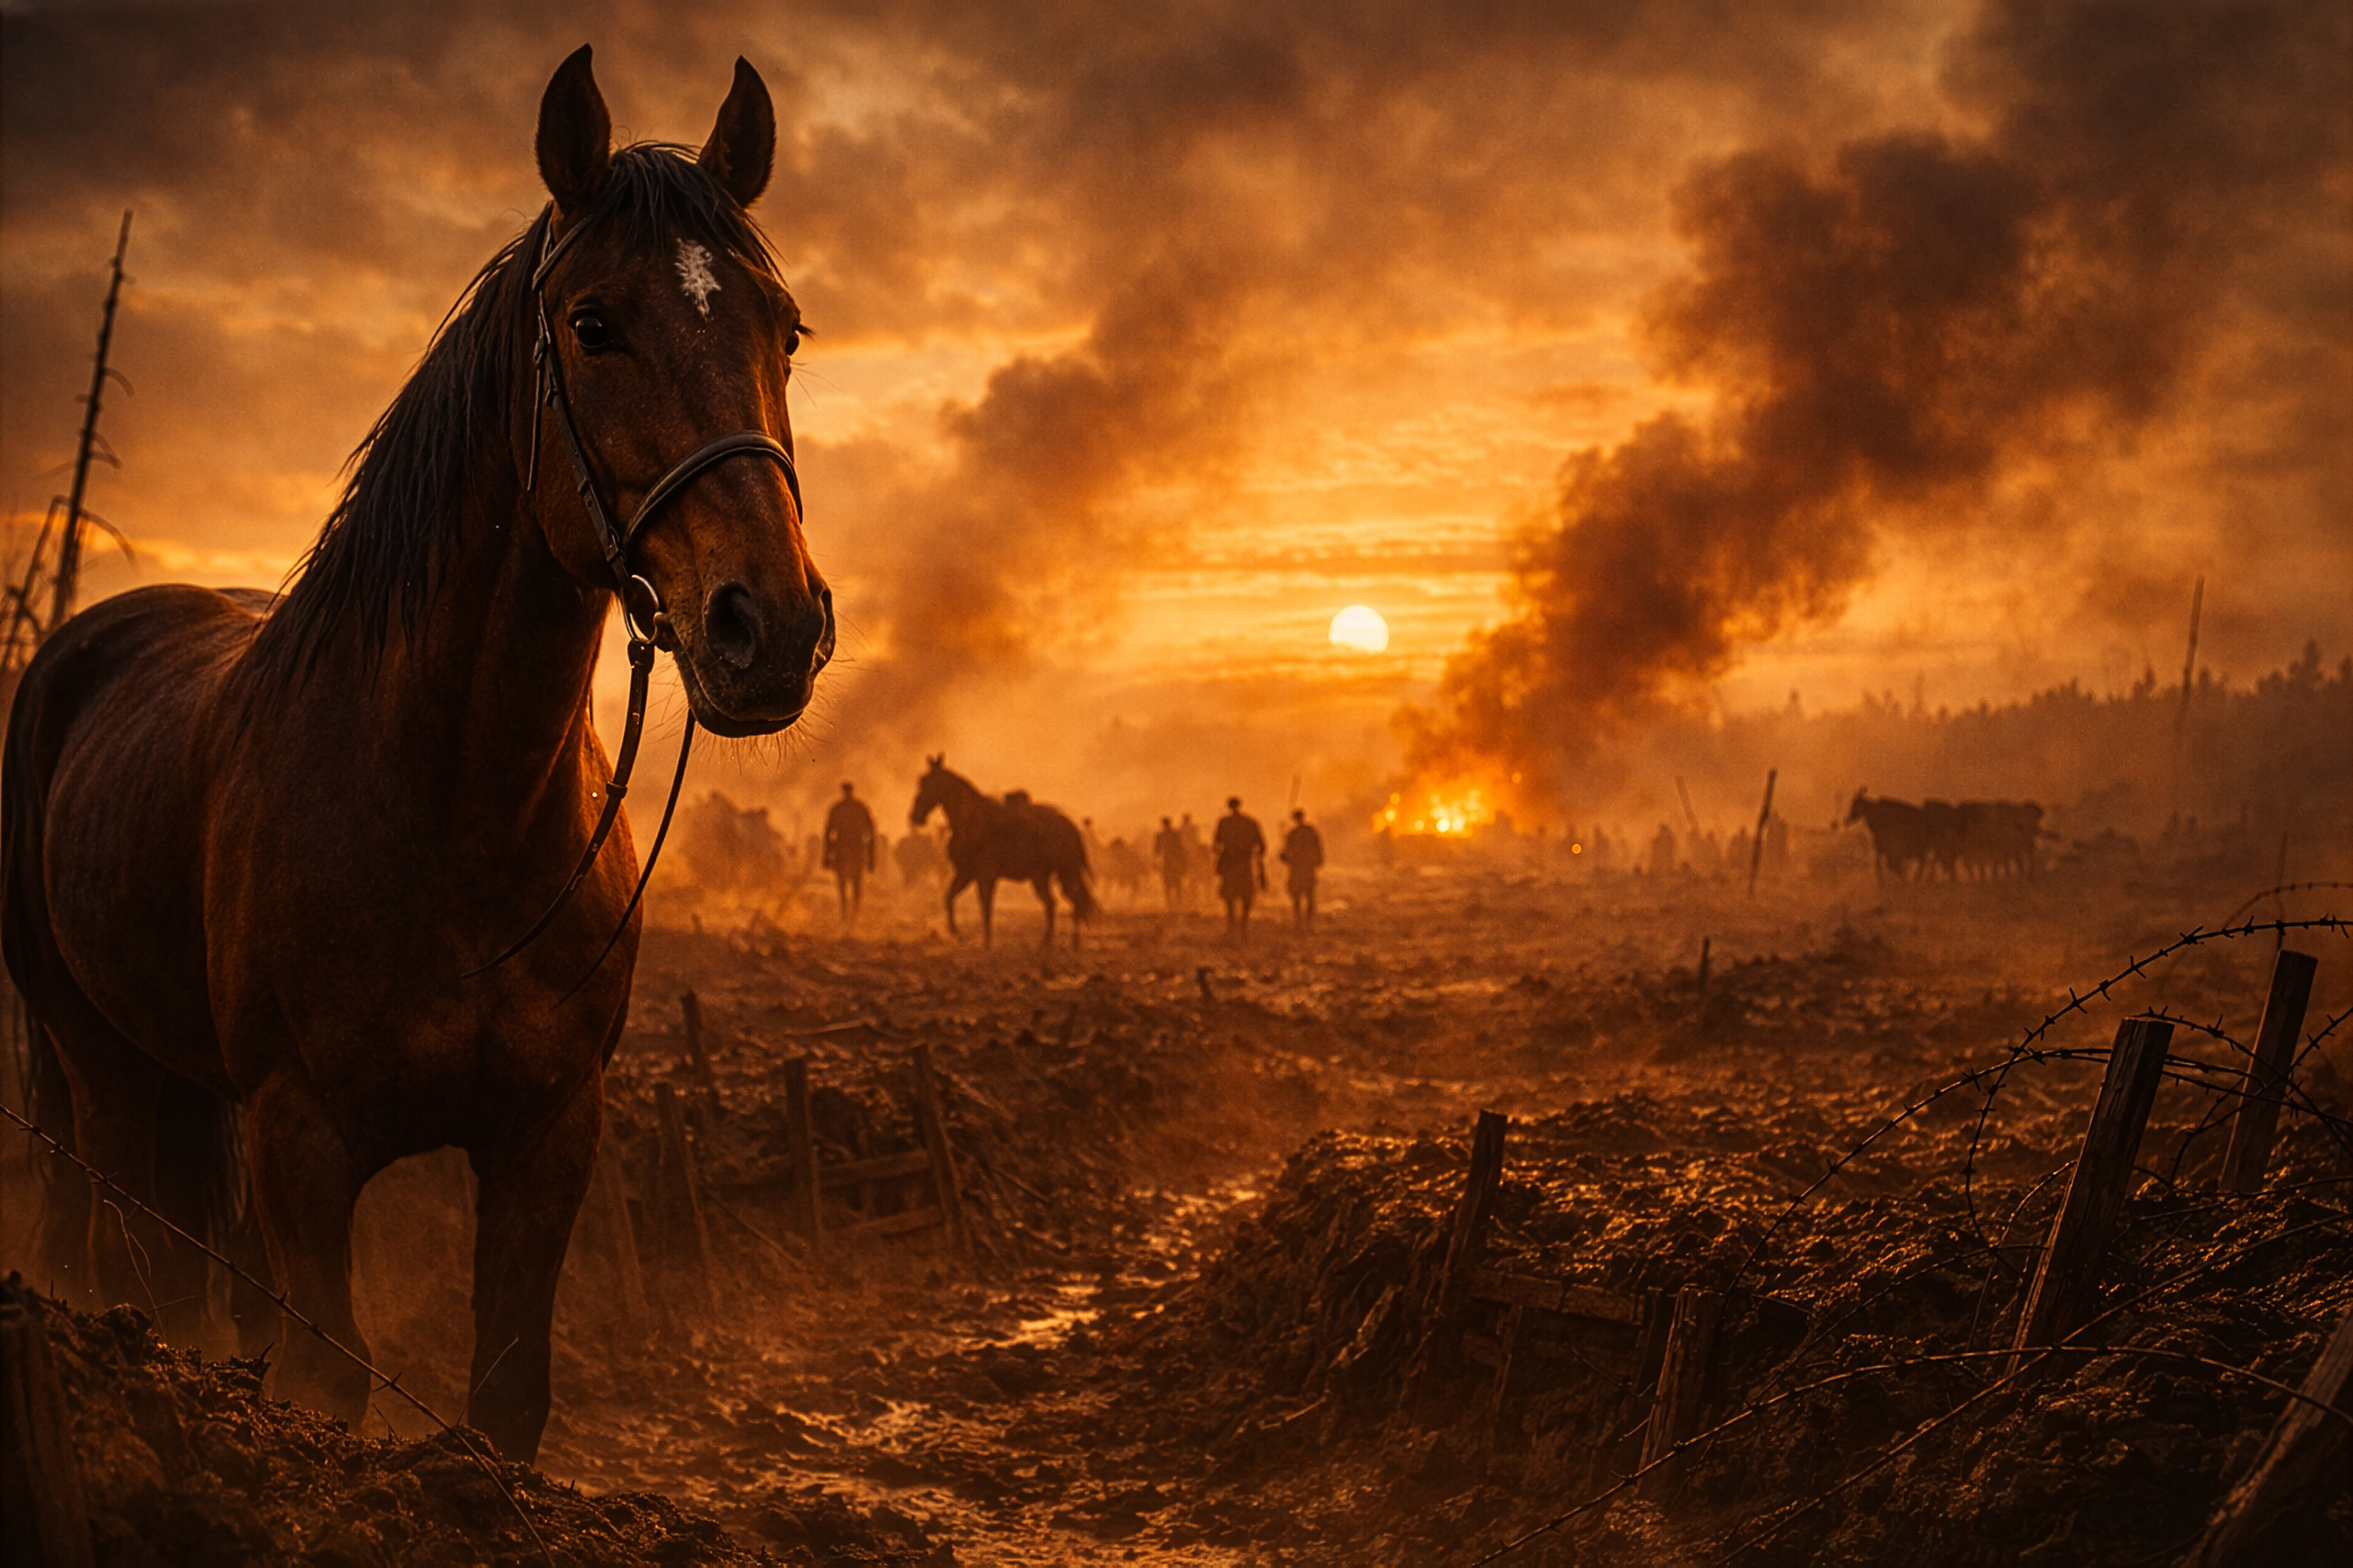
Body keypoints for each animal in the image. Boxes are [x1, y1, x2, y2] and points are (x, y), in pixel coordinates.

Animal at [0, 48, 831, 1462]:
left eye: (783, 330)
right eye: (593, 325)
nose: (767, 626)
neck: (452, 813)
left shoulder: (548, 1135)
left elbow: (504, 1399)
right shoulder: (301, 1140)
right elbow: (326, 1380)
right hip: (92, 1057)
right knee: (122, 1257)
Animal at [907, 756, 1096, 948]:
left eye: (930, 782)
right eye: (921, 781)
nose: (915, 816)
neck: (970, 823)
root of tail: (1071, 826)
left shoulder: (985, 876)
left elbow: (986, 909)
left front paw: (986, 944)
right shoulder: (965, 874)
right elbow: (949, 898)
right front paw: (959, 934)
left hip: (1065, 873)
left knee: (1074, 901)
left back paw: (1071, 942)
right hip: (1041, 876)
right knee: (1055, 903)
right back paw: (1049, 943)